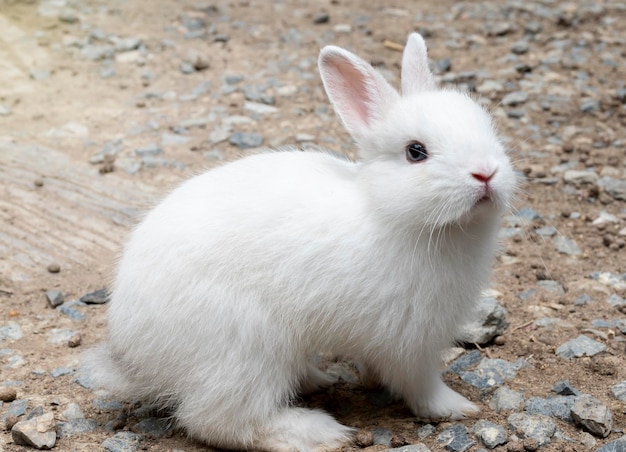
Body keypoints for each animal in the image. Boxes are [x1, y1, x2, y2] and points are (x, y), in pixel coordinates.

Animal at [81, 32, 512, 452]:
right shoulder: (409, 341)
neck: (390, 213)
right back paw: (317, 433)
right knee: (218, 422)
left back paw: (316, 381)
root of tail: (134, 353)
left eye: (488, 127)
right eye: (415, 152)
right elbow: (420, 384)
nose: (486, 173)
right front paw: (458, 408)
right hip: (245, 350)